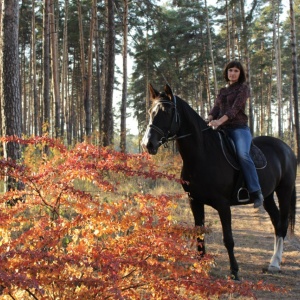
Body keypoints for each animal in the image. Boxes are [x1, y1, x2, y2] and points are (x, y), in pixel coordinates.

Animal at [142, 83, 296, 280]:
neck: (203, 154)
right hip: (268, 196)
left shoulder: (223, 205)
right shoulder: (194, 201)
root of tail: (287, 148)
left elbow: (228, 239)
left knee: (282, 225)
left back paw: (275, 263)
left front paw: (234, 271)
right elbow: (199, 235)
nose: (148, 144)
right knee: (276, 223)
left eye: (167, 111)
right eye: (150, 111)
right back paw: (273, 261)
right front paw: (200, 267)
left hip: (284, 191)